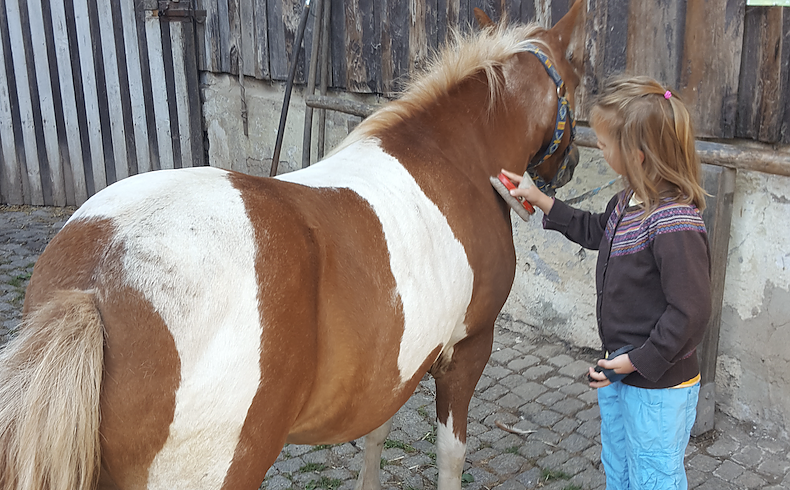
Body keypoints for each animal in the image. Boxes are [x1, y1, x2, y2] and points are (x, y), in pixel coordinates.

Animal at [0, 1, 588, 488]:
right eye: (577, 79)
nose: (570, 166)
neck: (454, 159)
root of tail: (93, 288)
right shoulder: (468, 348)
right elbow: (450, 454)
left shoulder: (397, 364)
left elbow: (376, 430)